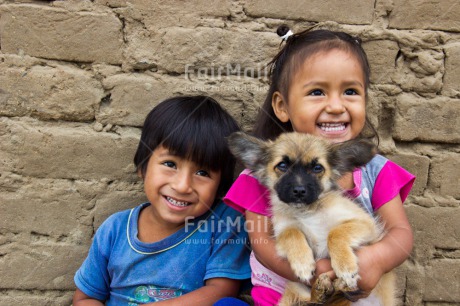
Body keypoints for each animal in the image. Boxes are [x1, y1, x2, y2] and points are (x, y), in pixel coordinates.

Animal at [228, 132, 394, 306]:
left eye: (317, 168)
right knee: (313, 302)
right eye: (282, 165)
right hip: (296, 290)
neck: (307, 211)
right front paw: (303, 264)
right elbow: (291, 232)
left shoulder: (366, 224)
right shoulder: (282, 231)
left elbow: (335, 233)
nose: (299, 191)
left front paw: (345, 266)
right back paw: (322, 291)